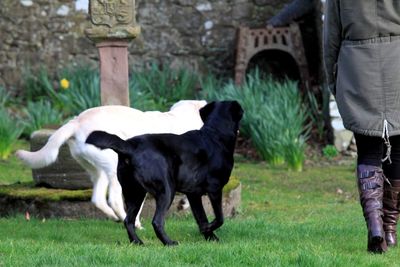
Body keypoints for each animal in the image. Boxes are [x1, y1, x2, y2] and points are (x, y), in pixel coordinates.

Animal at [16, 100, 206, 228]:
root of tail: (76, 122)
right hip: (114, 170)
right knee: (114, 200)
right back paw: (130, 222)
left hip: (98, 171)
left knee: (98, 199)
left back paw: (115, 217)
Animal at [86, 101, 244, 247]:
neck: (214, 135)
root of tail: (129, 147)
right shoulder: (215, 188)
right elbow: (220, 217)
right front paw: (209, 232)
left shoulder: (193, 194)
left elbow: (201, 217)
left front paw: (209, 236)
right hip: (166, 190)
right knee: (157, 221)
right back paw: (169, 243)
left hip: (135, 193)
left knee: (128, 220)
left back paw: (137, 242)